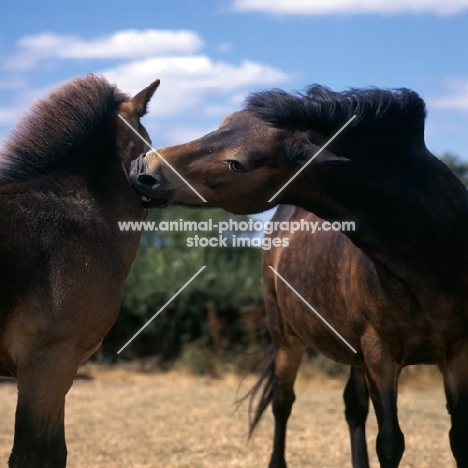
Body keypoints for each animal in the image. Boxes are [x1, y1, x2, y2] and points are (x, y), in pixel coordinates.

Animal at [129, 86, 468, 466]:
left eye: (238, 164)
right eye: (222, 123)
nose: (143, 169)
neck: (428, 253)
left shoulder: (457, 354)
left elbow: (457, 437)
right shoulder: (380, 355)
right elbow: (391, 442)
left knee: (353, 407)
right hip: (287, 339)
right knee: (283, 403)